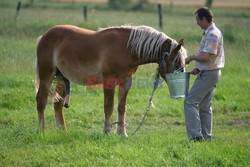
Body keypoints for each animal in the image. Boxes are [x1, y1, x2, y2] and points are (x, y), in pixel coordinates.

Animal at [35, 25, 188, 137]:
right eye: (177, 63)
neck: (127, 48)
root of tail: (44, 36)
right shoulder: (109, 81)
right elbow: (108, 106)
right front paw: (107, 131)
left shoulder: (126, 82)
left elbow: (121, 107)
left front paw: (122, 133)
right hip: (46, 75)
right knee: (41, 100)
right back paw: (42, 130)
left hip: (61, 78)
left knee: (57, 104)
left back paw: (62, 129)